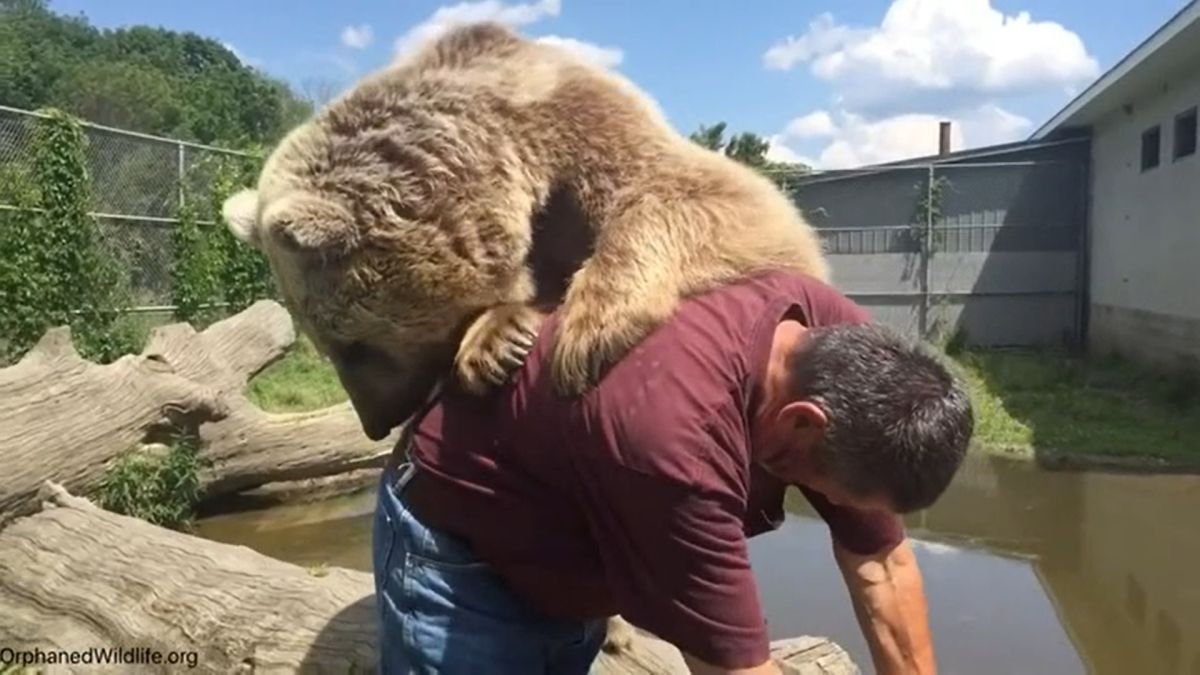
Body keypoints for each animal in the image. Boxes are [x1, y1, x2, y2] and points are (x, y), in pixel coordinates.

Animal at [220, 21, 831, 444]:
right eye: (328, 346)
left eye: (353, 346)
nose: (376, 421)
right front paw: (491, 345)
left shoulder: (593, 137)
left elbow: (729, 202)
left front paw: (588, 332)